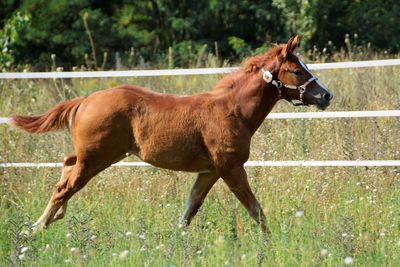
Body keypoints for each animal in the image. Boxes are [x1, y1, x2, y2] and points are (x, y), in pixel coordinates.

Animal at [12, 36, 332, 243]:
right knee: (64, 187)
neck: (233, 110)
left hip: (92, 156)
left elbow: (191, 208)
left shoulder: (210, 171)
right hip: (96, 158)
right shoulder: (230, 168)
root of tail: (84, 100)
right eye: (297, 70)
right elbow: (255, 209)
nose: (326, 95)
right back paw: (34, 229)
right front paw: (271, 243)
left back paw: (51, 220)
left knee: (66, 166)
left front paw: (176, 242)